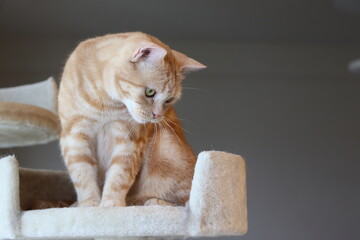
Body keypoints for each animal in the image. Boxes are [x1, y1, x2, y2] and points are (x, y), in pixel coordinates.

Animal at [58, 31, 207, 207]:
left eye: (169, 100)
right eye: (150, 92)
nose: (157, 116)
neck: (105, 104)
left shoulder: (131, 140)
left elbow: (119, 176)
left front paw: (111, 205)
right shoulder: (75, 135)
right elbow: (82, 175)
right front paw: (89, 205)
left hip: (166, 146)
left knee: (182, 201)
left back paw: (150, 202)